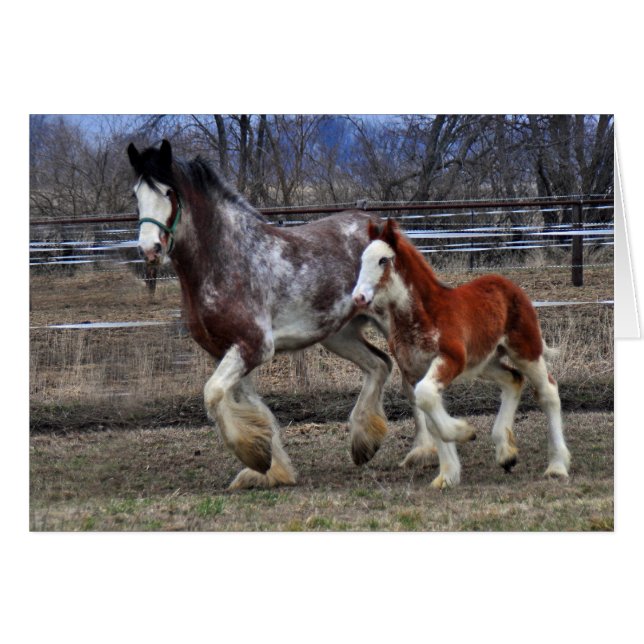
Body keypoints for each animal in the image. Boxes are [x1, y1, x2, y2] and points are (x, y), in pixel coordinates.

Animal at [127, 139, 436, 489]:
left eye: (168, 192)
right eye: (136, 194)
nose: (149, 249)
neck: (227, 260)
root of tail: (382, 229)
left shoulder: (254, 347)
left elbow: (213, 393)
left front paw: (253, 456)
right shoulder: (226, 351)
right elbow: (254, 408)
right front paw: (272, 470)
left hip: (392, 323)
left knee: (412, 379)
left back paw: (423, 453)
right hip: (338, 333)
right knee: (379, 365)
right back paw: (363, 443)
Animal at [351, 218, 571, 489]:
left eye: (383, 260)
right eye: (362, 259)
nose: (358, 298)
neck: (425, 316)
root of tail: (509, 285)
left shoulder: (451, 359)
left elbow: (426, 397)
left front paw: (465, 432)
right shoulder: (415, 371)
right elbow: (429, 413)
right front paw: (447, 475)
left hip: (525, 350)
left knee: (548, 392)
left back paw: (557, 467)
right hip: (485, 362)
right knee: (513, 379)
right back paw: (506, 453)